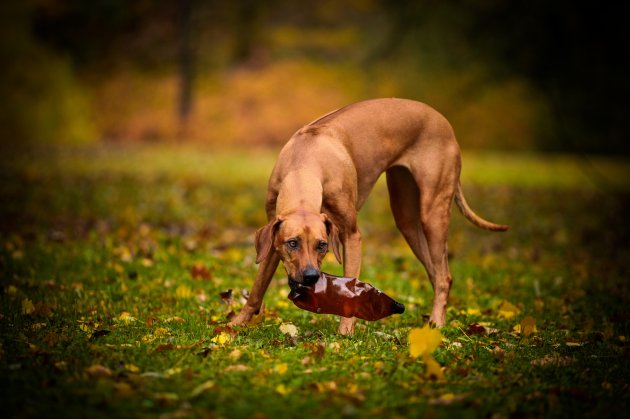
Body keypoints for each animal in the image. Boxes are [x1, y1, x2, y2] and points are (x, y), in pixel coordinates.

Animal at [230, 97, 512, 334]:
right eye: (292, 243)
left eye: (322, 245)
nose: (311, 277)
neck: (304, 163)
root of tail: (443, 120)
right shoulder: (272, 238)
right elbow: (257, 288)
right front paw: (236, 324)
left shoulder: (350, 235)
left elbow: (350, 292)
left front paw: (344, 334)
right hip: (406, 218)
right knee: (437, 271)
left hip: (433, 211)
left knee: (443, 276)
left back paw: (437, 324)